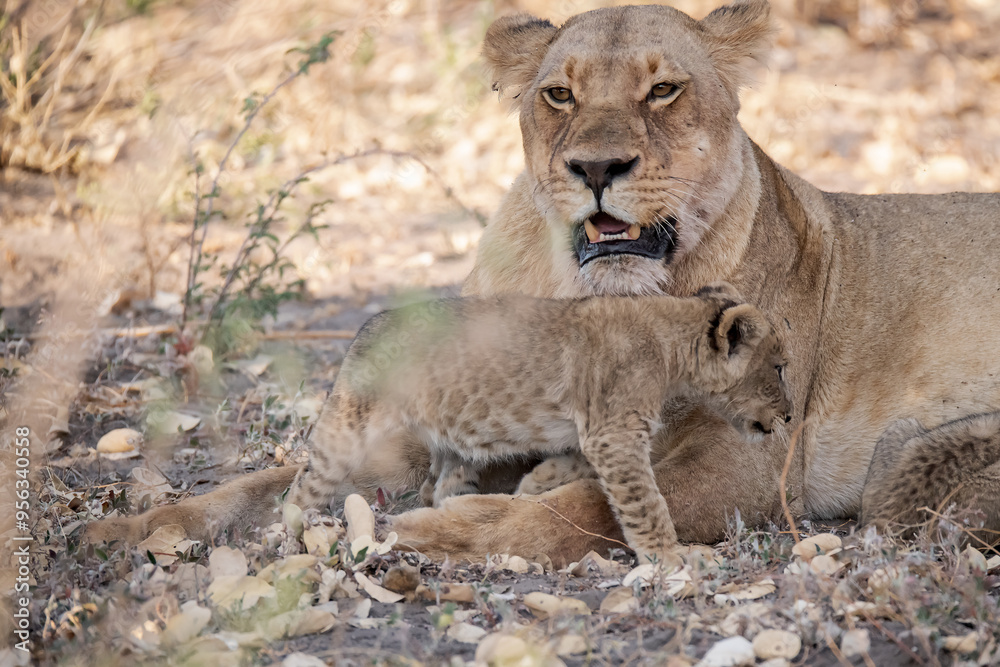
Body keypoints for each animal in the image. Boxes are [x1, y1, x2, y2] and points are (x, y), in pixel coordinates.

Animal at [86, 0, 1000, 564]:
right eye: (559, 94)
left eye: (663, 89)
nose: (596, 167)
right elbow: (258, 482)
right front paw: (134, 527)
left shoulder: (756, 459)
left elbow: (588, 508)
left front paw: (448, 528)